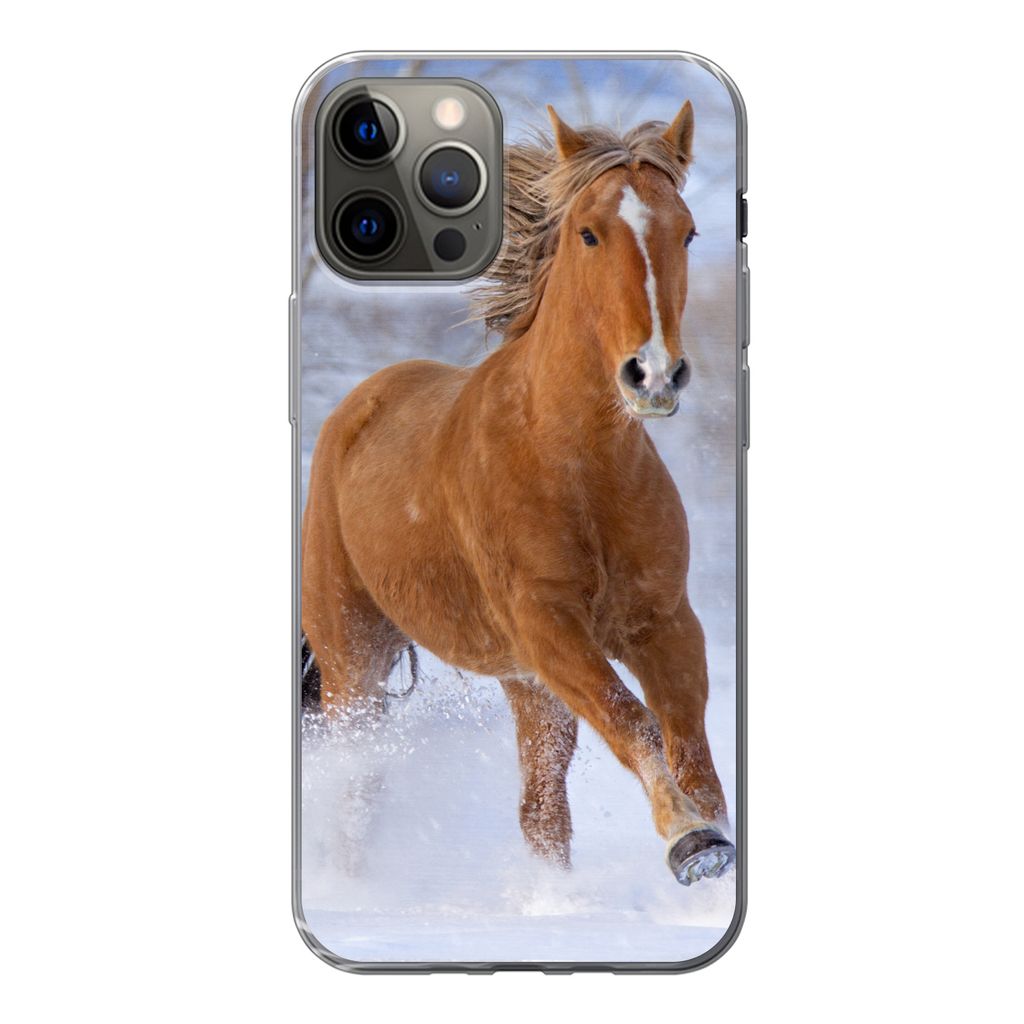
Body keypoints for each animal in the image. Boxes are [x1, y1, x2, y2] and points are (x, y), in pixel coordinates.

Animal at [301, 101, 736, 885]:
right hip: (355, 658)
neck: (576, 466)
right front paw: (691, 841)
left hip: (524, 685)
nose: (654, 375)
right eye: (588, 232)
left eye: (687, 230)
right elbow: (635, 723)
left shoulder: (662, 622)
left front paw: (712, 847)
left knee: (541, 810)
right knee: (356, 788)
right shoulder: (547, 625)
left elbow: (690, 747)